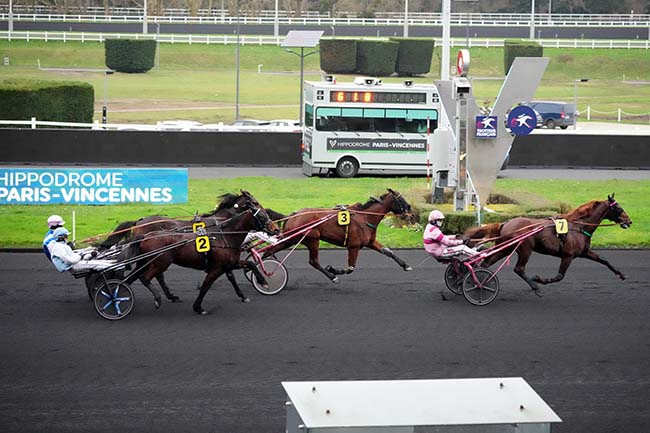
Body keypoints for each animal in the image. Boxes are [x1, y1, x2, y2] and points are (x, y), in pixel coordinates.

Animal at [121, 192, 278, 314]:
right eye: (255, 203)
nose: (275, 229)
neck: (223, 232)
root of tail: (139, 222)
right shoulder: (217, 266)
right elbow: (206, 286)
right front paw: (198, 307)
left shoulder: (228, 263)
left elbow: (242, 269)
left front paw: (252, 290)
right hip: (158, 261)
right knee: (147, 276)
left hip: (149, 260)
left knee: (139, 276)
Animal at [262, 187, 418, 282]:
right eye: (401, 199)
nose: (411, 214)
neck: (365, 217)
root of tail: (292, 215)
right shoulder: (354, 246)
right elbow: (350, 268)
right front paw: (334, 270)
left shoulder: (370, 242)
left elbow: (388, 252)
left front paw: (405, 265)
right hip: (312, 239)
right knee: (314, 261)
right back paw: (332, 276)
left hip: (293, 239)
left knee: (271, 250)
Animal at [464, 194, 632, 292]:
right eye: (618, 208)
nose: (629, 221)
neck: (578, 227)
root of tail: (505, 223)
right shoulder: (568, 255)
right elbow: (559, 276)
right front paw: (539, 279)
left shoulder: (584, 252)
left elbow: (604, 260)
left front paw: (621, 274)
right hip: (525, 248)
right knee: (519, 268)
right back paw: (534, 286)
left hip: (506, 248)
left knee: (485, 263)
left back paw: (476, 282)